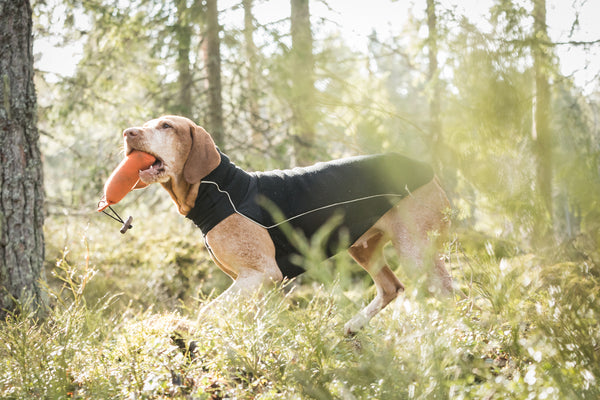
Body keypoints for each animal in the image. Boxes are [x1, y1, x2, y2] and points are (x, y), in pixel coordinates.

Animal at [120, 115, 450, 332]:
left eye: (166, 126)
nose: (128, 133)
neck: (219, 188)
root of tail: (427, 168)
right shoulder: (254, 284)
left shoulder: (260, 274)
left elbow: (207, 310)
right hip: (363, 247)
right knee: (391, 287)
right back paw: (353, 326)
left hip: (416, 250)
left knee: (445, 291)